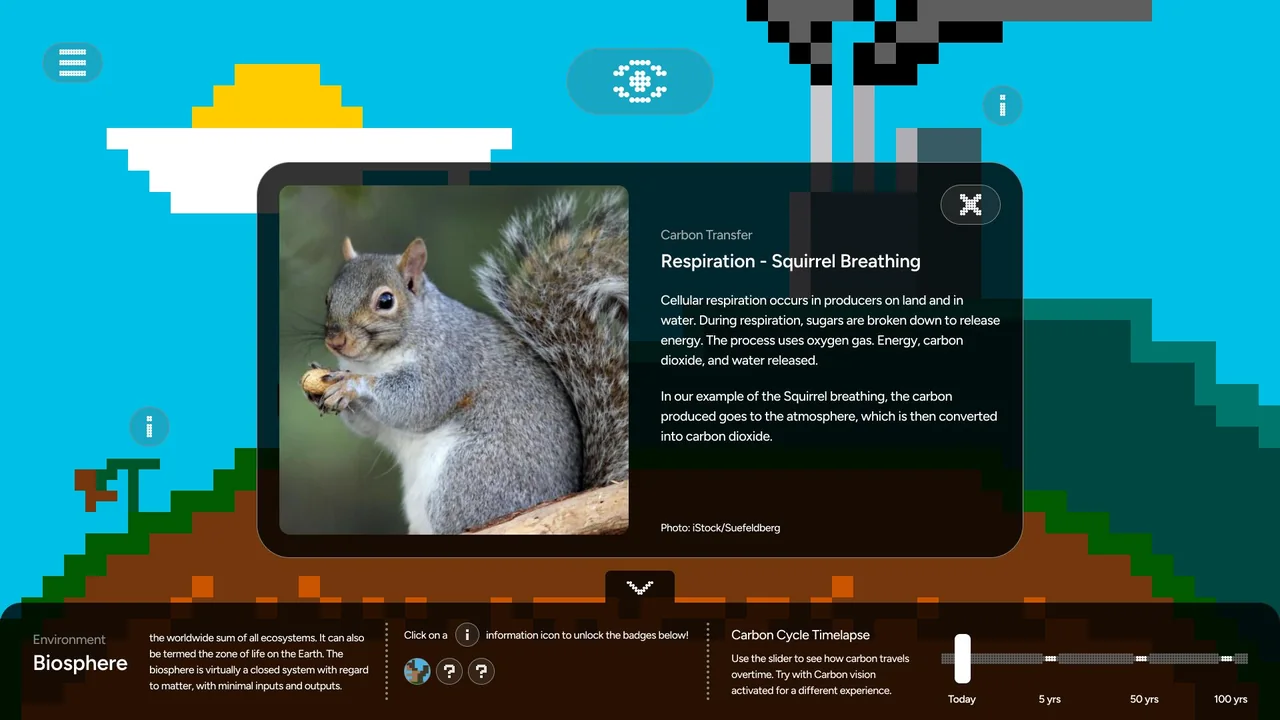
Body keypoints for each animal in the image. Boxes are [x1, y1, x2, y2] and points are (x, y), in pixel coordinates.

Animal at [304, 191, 629, 534]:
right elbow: (369, 426)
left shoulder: (448, 363)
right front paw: (322, 389)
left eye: (386, 301)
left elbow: (417, 402)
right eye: (328, 297)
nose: (336, 340)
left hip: (465, 477)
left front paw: (354, 386)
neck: (374, 360)